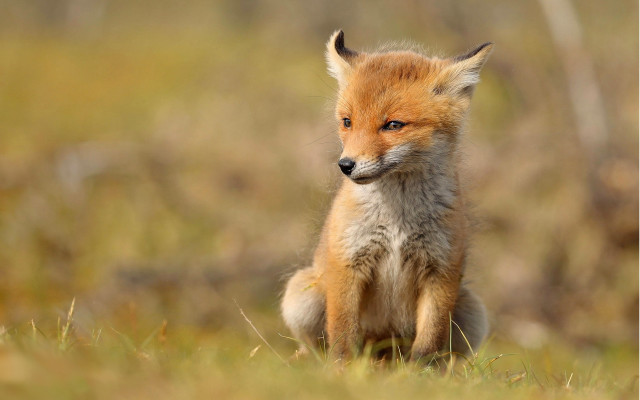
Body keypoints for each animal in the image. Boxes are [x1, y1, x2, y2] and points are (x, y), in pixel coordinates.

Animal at [281, 30, 493, 361]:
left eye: (393, 124)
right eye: (347, 121)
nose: (346, 165)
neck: (397, 221)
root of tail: (384, 355)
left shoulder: (442, 270)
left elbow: (428, 343)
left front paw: (420, 374)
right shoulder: (348, 261)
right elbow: (342, 335)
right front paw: (343, 370)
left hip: (473, 312)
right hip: (301, 296)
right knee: (318, 345)